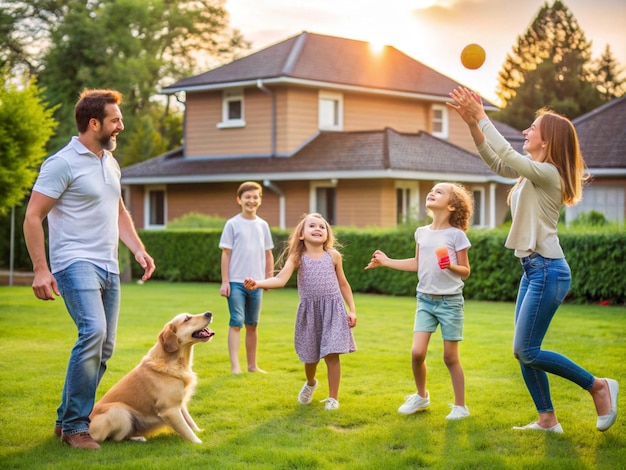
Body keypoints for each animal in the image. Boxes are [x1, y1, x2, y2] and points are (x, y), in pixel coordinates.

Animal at [88, 312, 214, 444]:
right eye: (187, 319)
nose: (209, 313)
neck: (173, 362)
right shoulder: (170, 409)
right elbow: (186, 429)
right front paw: (199, 443)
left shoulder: (180, 403)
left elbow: (190, 421)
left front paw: (199, 431)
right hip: (119, 411)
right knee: (115, 439)